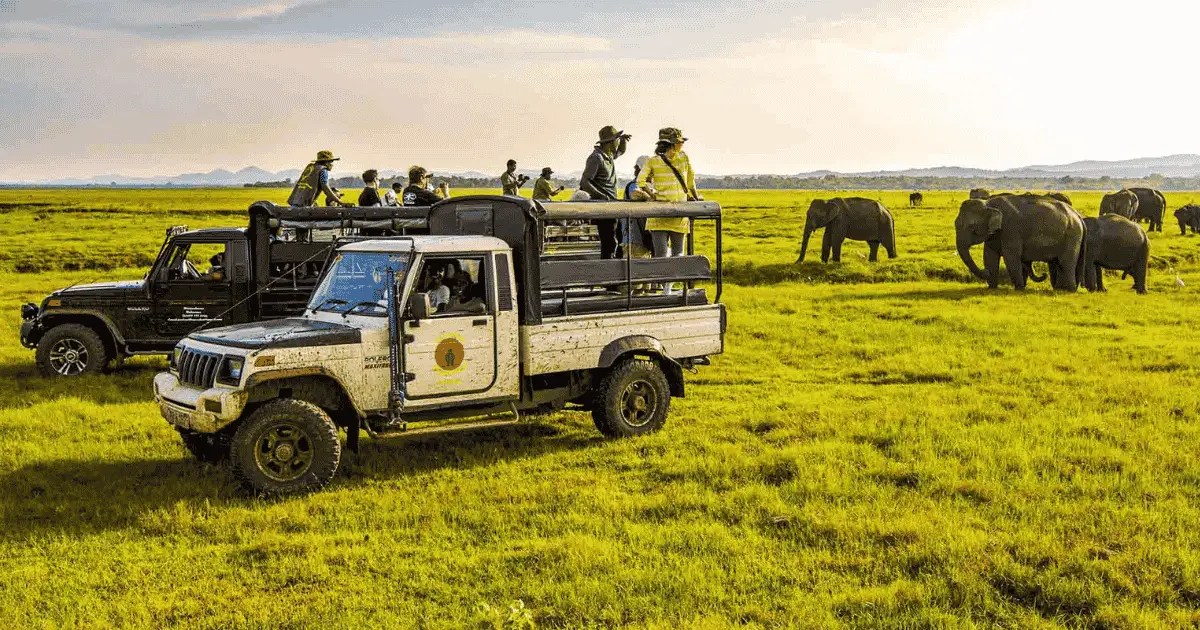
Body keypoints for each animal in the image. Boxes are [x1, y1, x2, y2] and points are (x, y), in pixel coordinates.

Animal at [955, 194, 1085, 291]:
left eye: (972, 228)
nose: (985, 271)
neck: (988, 203)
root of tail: (1078, 216)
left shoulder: (1011, 229)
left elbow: (1011, 257)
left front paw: (1019, 288)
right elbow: (989, 255)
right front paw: (991, 287)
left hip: (1072, 235)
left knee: (1066, 262)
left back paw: (1068, 290)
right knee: (1060, 263)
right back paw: (1061, 289)